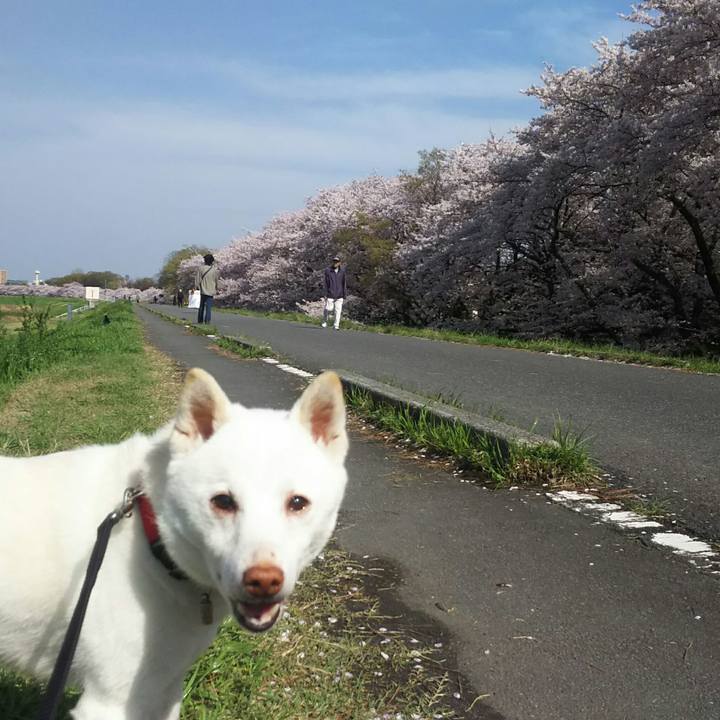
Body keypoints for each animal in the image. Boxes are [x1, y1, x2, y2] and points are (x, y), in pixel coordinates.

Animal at [0, 368, 349, 719]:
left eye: (297, 503)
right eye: (223, 501)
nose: (263, 581)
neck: (150, 533)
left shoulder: (164, 689)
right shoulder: (107, 703)